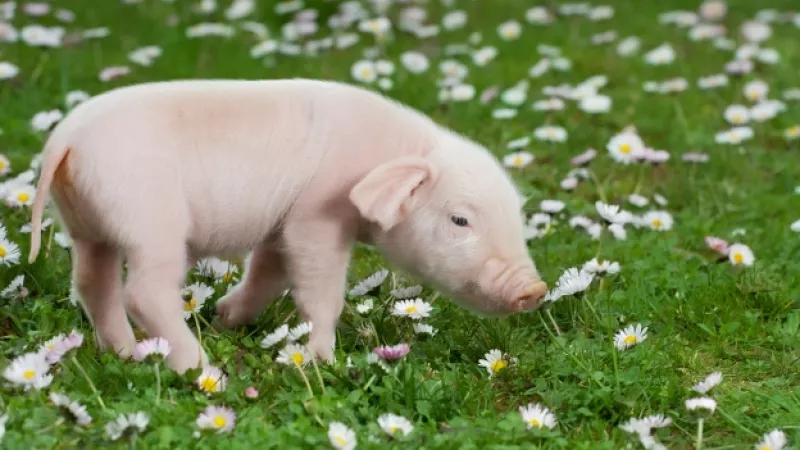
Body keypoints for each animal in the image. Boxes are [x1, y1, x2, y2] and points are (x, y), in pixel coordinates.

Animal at [28, 78, 548, 373]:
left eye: (514, 216)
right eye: (460, 219)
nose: (535, 289)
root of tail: (65, 140)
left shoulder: (283, 224)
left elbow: (269, 272)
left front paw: (227, 318)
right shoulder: (316, 214)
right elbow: (320, 289)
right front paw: (321, 360)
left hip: (86, 223)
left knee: (91, 282)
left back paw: (127, 355)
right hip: (150, 218)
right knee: (143, 291)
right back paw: (203, 372)